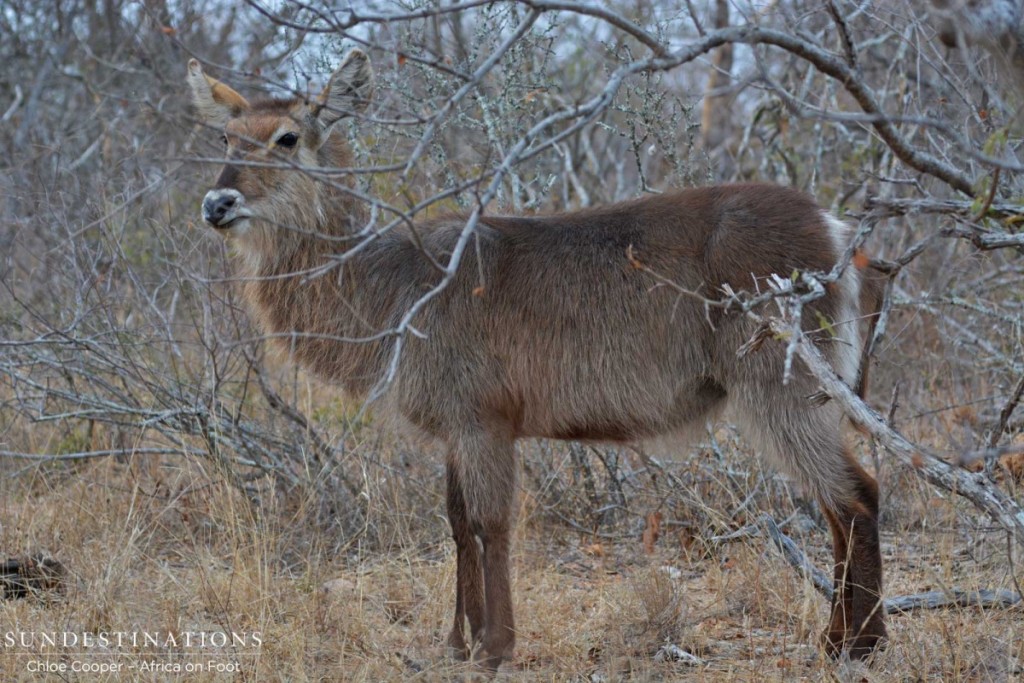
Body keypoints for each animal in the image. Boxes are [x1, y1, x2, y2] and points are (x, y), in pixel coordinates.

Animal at [190, 49, 888, 671]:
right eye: (225, 137)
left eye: (287, 137)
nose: (217, 204)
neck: (389, 285)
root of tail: (835, 231)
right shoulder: (456, 426)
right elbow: (457, 523)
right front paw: (458, 642)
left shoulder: (483, 418)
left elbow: (492, 524)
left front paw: (497, 646)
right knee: (845, 500)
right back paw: (843, 640)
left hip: (779, 383)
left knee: (854, 494)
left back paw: (856, 645)